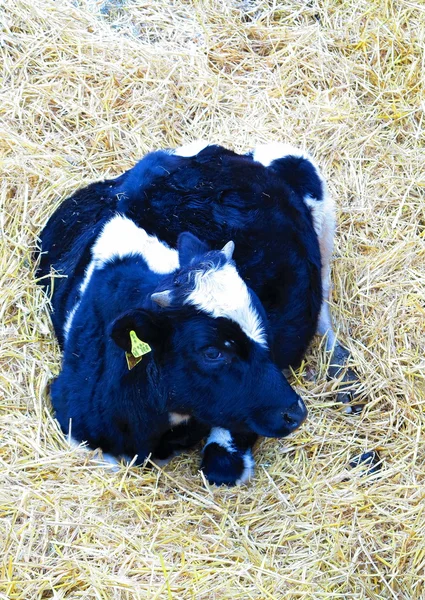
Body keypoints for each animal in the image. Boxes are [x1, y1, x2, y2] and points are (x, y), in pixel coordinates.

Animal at [37, 142, 358, 488]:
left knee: (323, 301)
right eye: (212, 352)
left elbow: (222, 464)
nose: (295, 413)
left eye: (265, 330)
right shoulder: (73, 414)